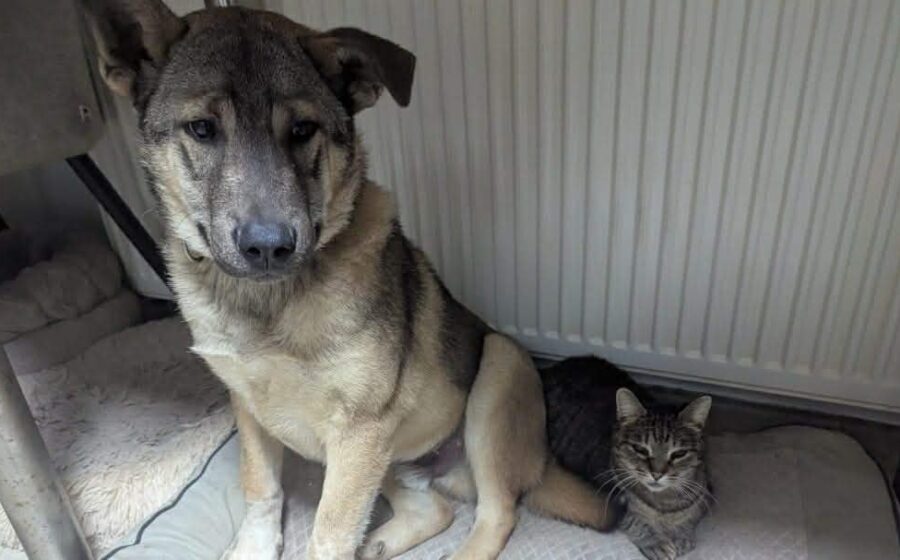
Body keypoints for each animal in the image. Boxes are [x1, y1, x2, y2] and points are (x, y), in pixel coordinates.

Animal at [83, 2, 615, 558]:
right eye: (202, 128)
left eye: (303, 130)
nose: (269, 247)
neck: (267, 303)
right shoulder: (250, 408)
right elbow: (261, 487)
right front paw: (253, 545)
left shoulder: (359, 432)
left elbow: (327, 535)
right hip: (391, 461)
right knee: (436, 510)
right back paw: (379, 542)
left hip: (497, 372)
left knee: (496, 514)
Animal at [541, 357, 713, 560]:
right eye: (640, 449)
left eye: (679, 454)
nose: (657, 474)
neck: (663, 503)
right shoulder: (607, 498)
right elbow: (634, 520)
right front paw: (655, 541)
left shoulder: (705, 493)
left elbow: (690, 517)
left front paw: (681, 534)